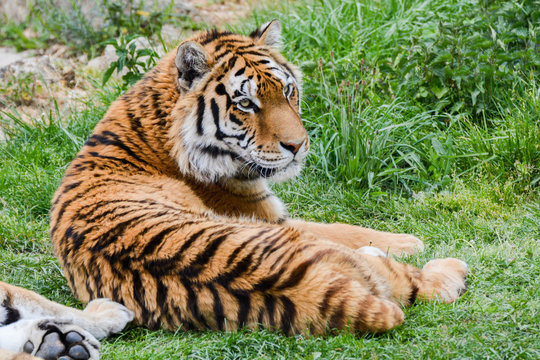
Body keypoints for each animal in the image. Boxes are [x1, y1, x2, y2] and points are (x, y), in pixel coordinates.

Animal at [0, 20, 466, 360]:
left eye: (288, 91)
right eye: (246, 104)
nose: (298, 146)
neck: (155, 125)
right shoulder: (270, 214)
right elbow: (344, 226)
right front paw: (408, 238)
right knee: (412, 282)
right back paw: (449, 270)